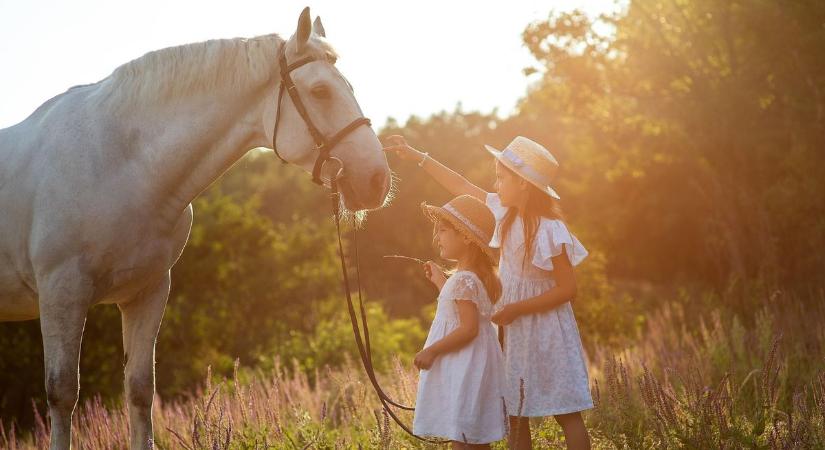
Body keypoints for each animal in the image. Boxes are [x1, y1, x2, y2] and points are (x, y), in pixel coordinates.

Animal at [0, 8, 392, 448]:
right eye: (321, 91)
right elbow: (63, 393)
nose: (377, 180)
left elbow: (140, 390)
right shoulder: (61, 295)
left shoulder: (147, 292)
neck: (120, 162)